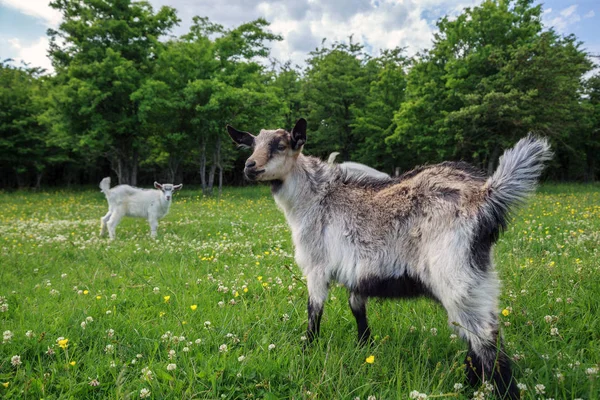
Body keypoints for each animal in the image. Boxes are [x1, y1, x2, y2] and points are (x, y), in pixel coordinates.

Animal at [227, 117, 552, 398]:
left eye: (281, 144)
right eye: (253, 143)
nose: (249, 166)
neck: (316, 197)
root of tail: (486, 196)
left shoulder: (316, 265)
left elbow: (314, 312)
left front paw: (308, 351)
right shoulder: (357, 271)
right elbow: (357, 308)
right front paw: (365, 347)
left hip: (456, 274)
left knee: (486, 339)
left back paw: (500, 390)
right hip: (476, 278)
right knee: (475, 336)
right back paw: (469, 384)